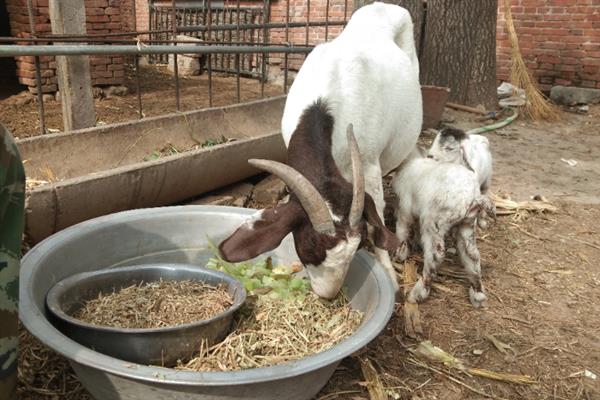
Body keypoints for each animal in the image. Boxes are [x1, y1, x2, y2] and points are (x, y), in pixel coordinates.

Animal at [392, 147, 494, 306]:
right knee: (473, 256)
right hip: (467, 226)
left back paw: (417, 293)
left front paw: (400, 254)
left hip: (434, 223)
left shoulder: (405, 209)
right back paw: (478, 294)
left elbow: (402, 231)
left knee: (435, 256)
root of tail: (472, 198)